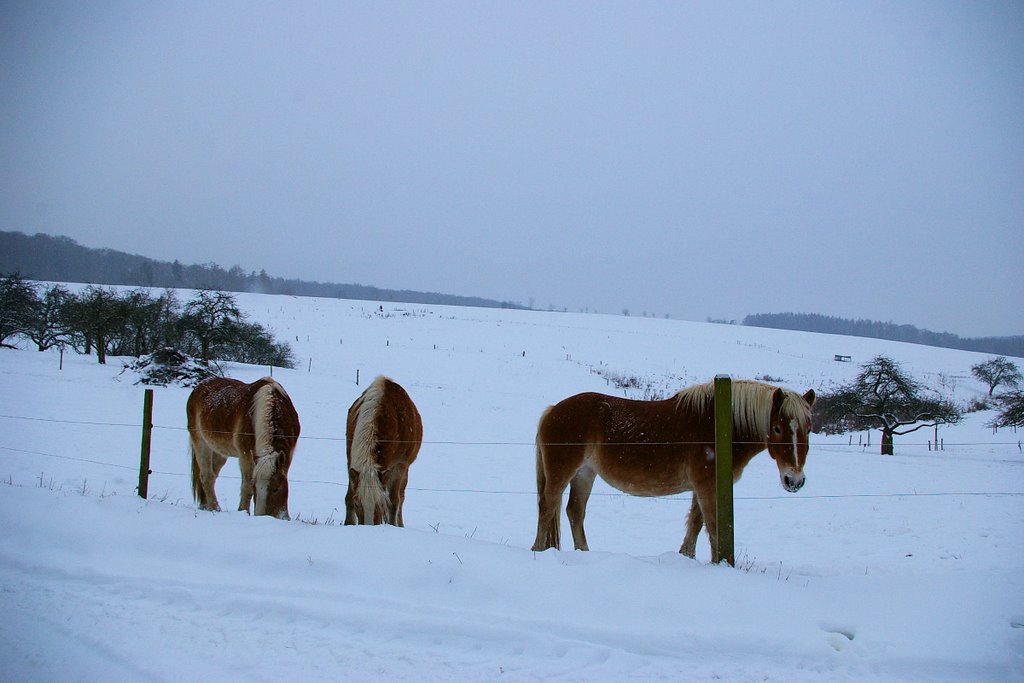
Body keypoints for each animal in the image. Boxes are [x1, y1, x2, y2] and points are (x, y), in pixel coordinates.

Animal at [187, 378, 299, 518]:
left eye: (276, 489)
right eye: (256, 488)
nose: (264, 517)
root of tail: (198, 387)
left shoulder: (288, 455)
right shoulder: (245, 455)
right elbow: (246, 486)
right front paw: (243, 511)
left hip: (219, 452)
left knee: (212, 476)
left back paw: (205, 506)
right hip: (201, 443)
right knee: (206, 476)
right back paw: (214, 508)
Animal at [346, 376, 421, 528]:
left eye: (380, 505)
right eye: (357, 504)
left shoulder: (399, 466)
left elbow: (393, 502)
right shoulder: (350, 457)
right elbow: (349, 496)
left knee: (401, 497)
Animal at [536, 378, 815, 561]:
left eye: (809, 429)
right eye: (777, 429)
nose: (794, 480)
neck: (719, 427)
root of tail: (552, 410)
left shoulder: (702, 486)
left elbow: (696, 523)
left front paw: (686, 557)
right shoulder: (707, 485)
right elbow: (714, 526)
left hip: (585, 473)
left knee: (575, 511)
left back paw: (584, 553)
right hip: (563, 472)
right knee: (548, 506)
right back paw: (538, 550)